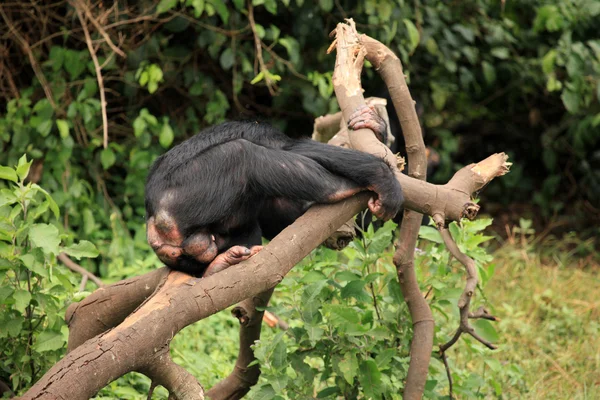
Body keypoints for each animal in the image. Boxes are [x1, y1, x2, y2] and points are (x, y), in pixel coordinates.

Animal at [146, 105, 404, 278]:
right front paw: (383, 178)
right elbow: (294, 148)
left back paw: (219, 264)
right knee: (245, 154)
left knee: (245, 231)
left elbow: (296, 218)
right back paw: (341, 189)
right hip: (187, 195)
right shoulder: (264, 135)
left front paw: (375, 126)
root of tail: (154, 221)